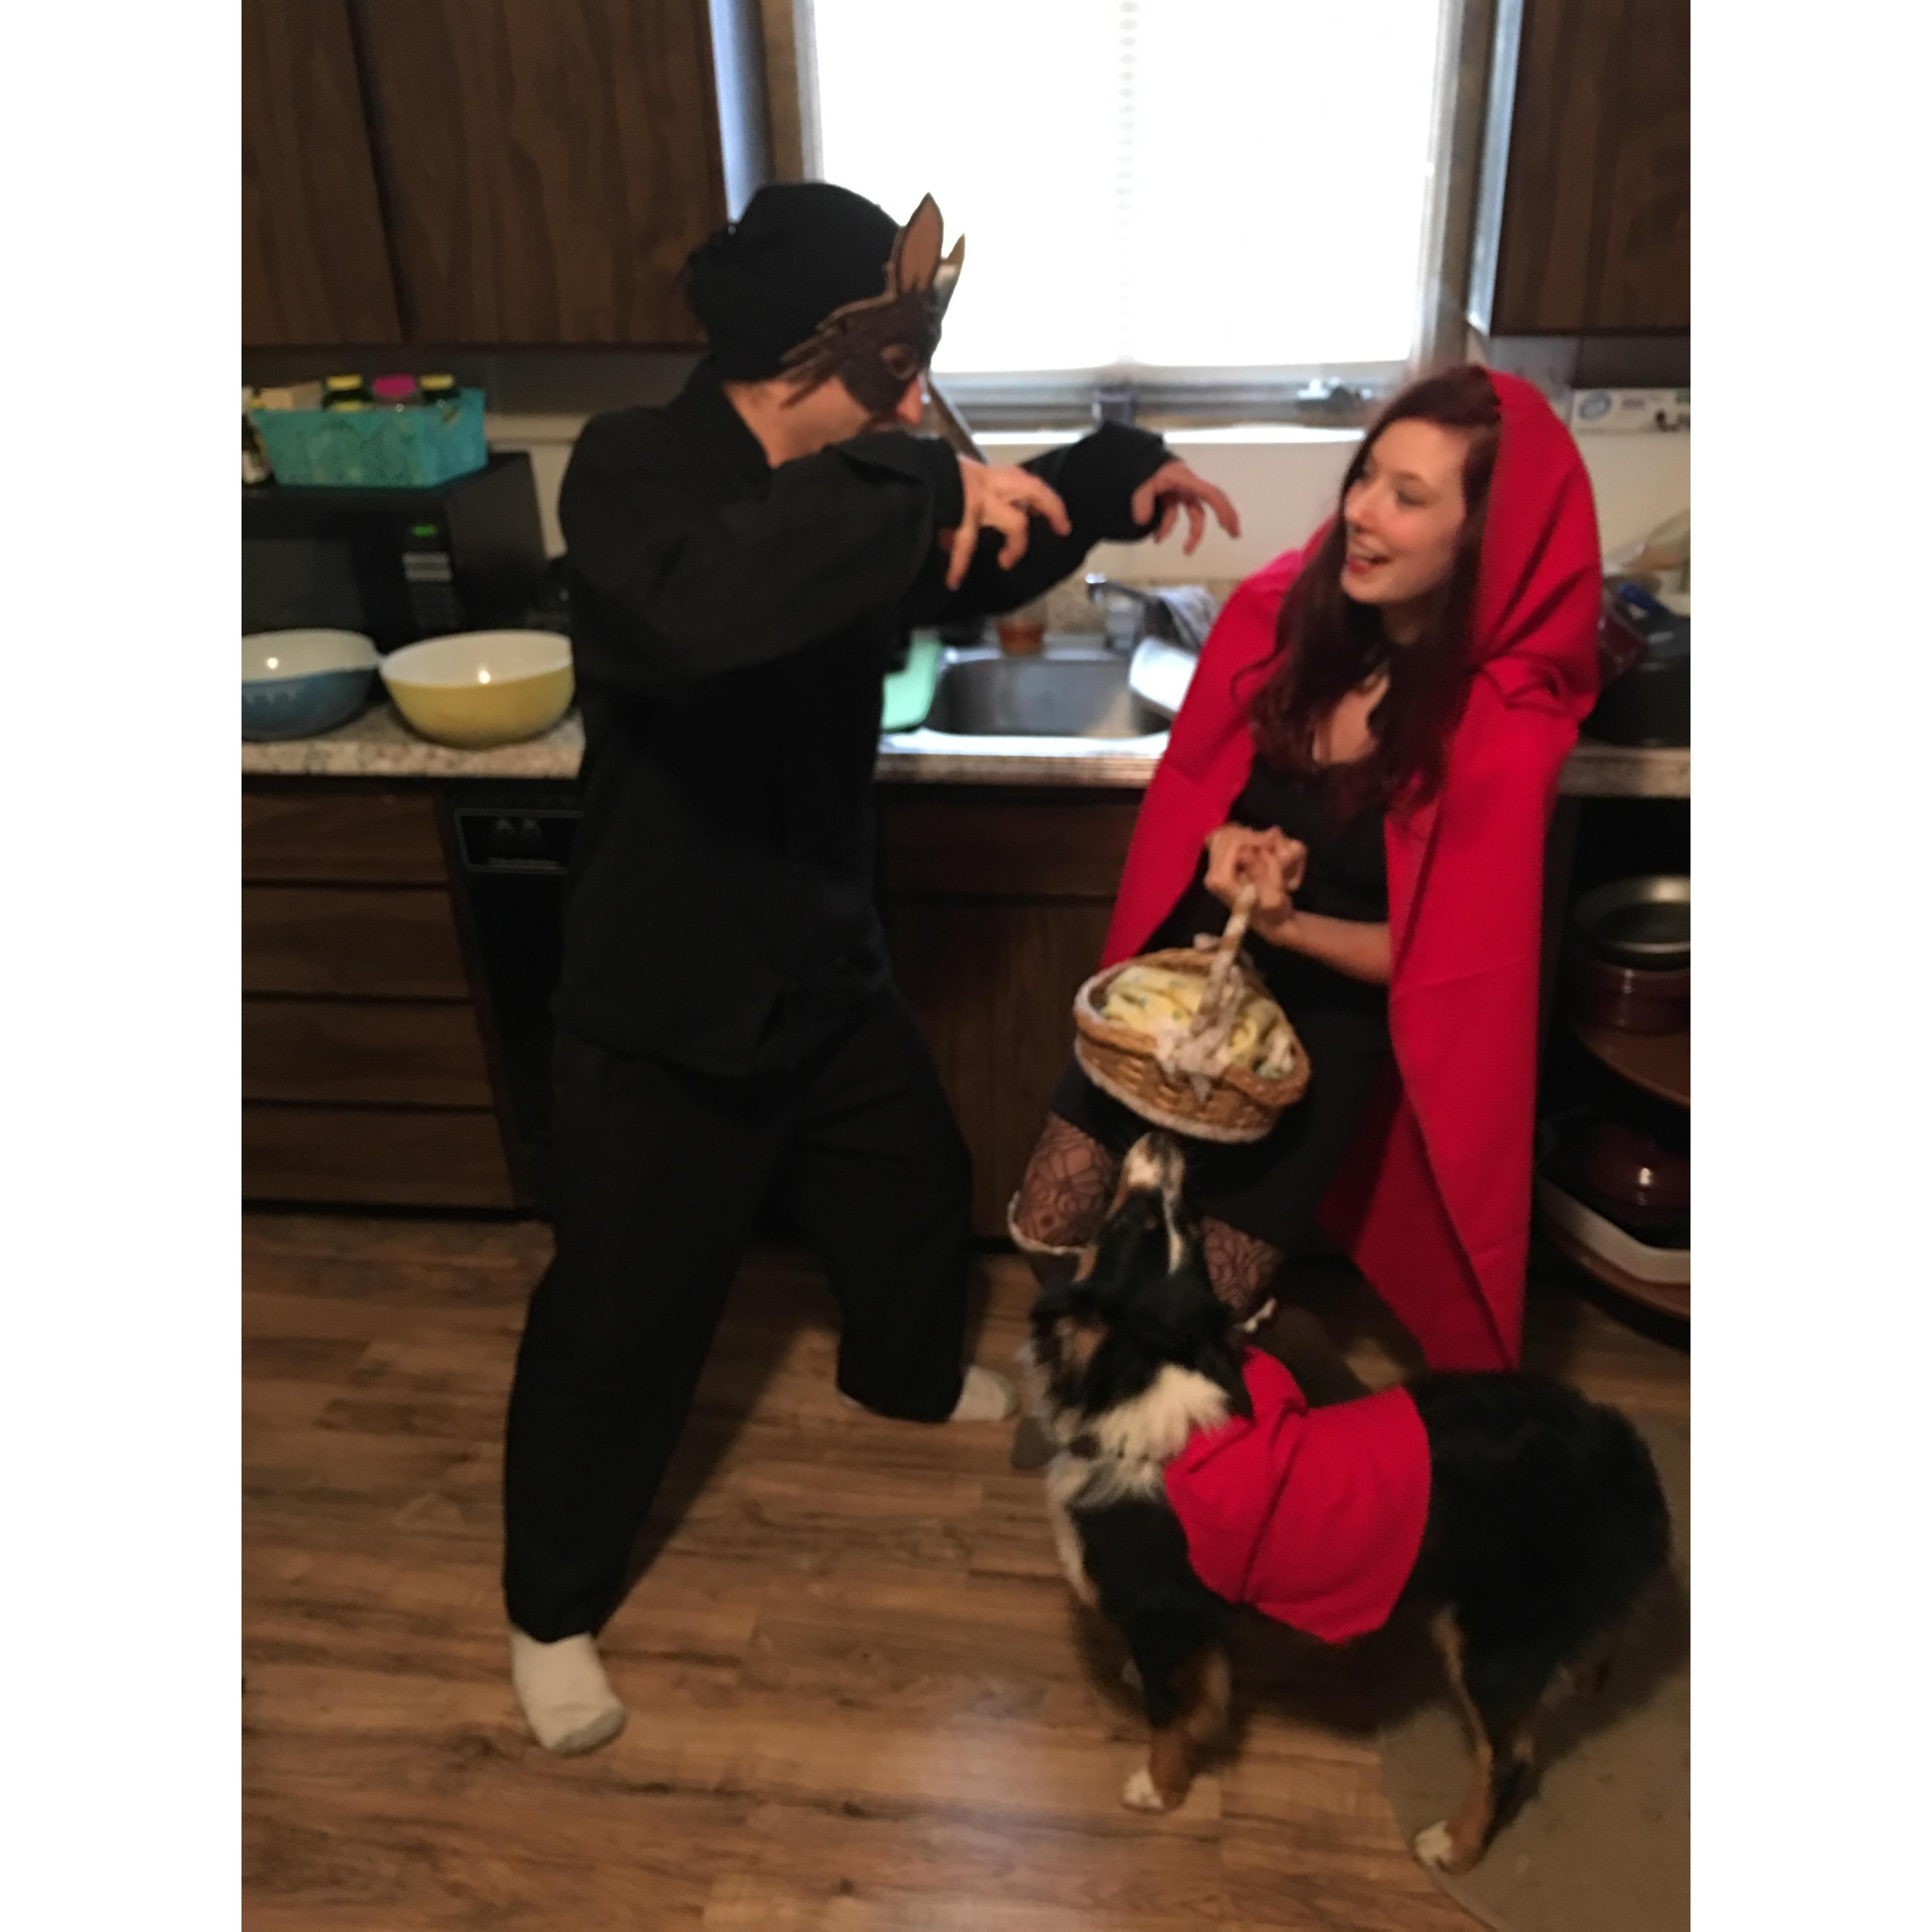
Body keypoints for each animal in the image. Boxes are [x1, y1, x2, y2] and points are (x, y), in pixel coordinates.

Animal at [1021, 1132, 1672, 1874]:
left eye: (1143, 1225)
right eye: (1172, 1225)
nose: (1169, 1141)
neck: (1144, 1372)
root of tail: (1620, 1453)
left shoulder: (1160, 1607)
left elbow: (1166, 1715)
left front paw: (1157, 1790)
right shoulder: (1195, 1615)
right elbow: (1201, 1685)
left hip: (1493, 1639)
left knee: (1510, 1757)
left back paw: (1454, 1844)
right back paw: (1587, 1674)